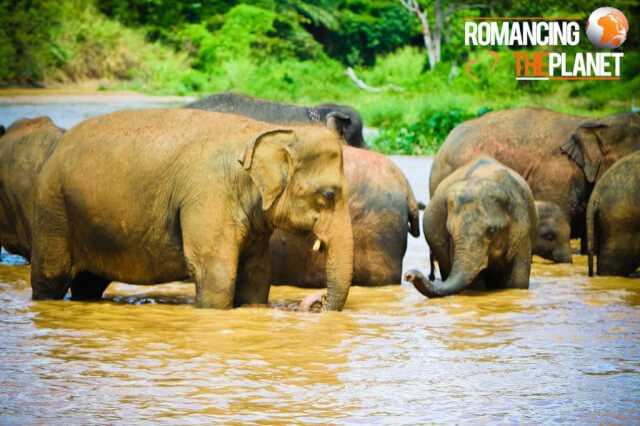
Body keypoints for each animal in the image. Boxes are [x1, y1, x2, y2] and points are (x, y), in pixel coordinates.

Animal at [30, 109, 354, 311]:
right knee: (51, 277)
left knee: (89, 283)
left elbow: (257, 275)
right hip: (52, 208)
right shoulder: (208, 196)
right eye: (328, 194)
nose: (318, 302)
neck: (265, 131)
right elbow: (216, 275)